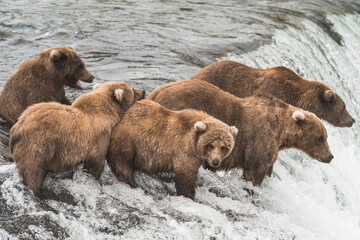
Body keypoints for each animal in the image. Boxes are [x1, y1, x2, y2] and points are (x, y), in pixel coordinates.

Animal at [9, 81, 145, 196]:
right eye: (133, 90)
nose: (143, 91)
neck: (108, 114)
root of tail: (17, 128)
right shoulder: (98, 137)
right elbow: (96, 162)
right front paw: (95, 179)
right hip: (37, 146)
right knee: (33, 172)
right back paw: (37, 192)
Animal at [105, 99, 238, 199]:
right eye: (211, 145)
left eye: (223, 147)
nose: (215, 162)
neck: (194, 143)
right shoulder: (184, 152)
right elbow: (186, 176)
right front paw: (189, 195)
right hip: (129, 140)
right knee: (122, 163)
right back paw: (130, 181)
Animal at [148, 79, 334, 187]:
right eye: (320, 138)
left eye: (325, 137)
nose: (330, 156)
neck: (280, 131)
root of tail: (156, 93)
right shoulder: (260, 143)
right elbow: (254, 173)